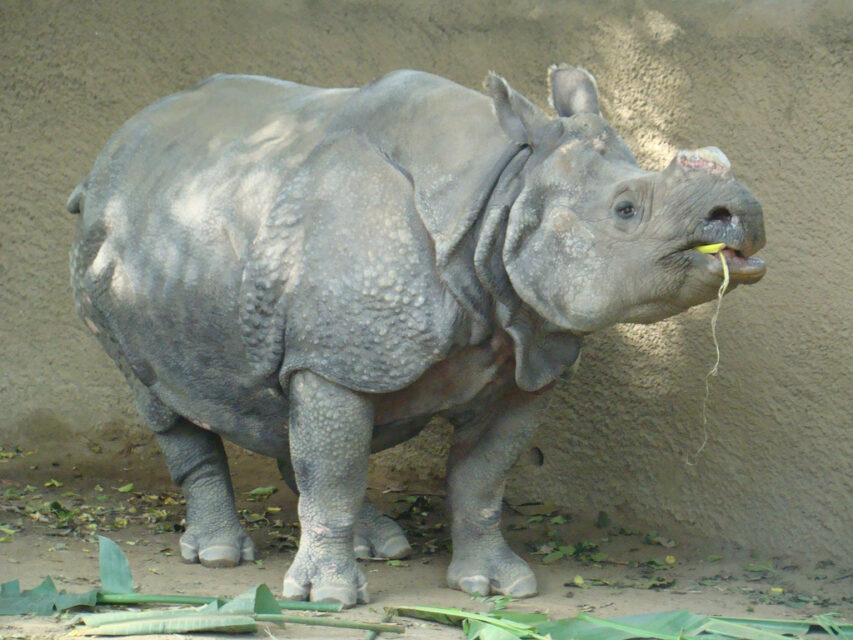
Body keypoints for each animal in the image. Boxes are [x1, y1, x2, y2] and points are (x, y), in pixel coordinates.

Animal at [67, 64, 765, 607]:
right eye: (626, 209)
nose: (745, 215)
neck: (506, 193)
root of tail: (111, 152)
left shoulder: (525, 356)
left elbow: (481, 477)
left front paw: (499, 587)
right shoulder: (340, 352)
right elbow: (336, 465)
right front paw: (328, 599)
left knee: (280, 398)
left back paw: (379, 543)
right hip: (111, 246)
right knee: (167, 397)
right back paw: (220, 556)